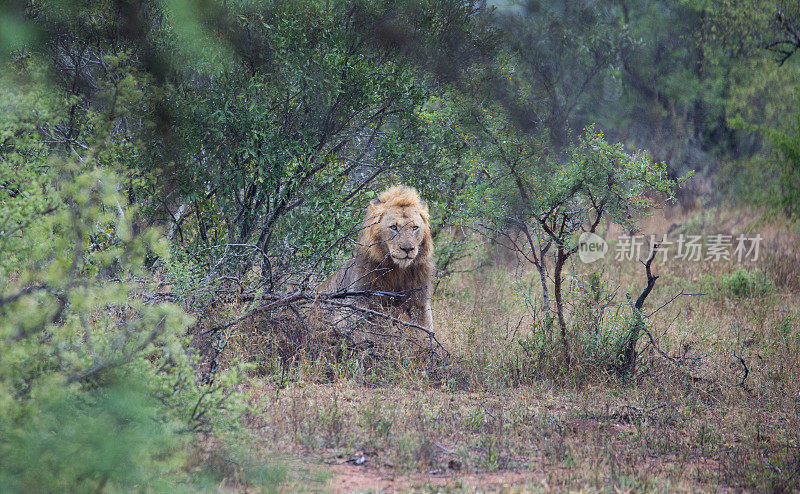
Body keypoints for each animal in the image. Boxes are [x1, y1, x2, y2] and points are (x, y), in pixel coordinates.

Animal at [320, 187, 438, 330]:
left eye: (415, 228)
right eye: (394, 227)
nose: (408, 249)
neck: (398, 271)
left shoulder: (420, 305)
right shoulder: (358, 302)